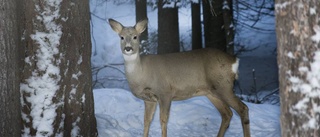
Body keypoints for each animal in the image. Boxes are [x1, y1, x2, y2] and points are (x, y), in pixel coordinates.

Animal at [109, 18, 251, 137]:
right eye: (121, 37)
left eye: (135, 37)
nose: (128, 48)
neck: (141, 75)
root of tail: (234, 60)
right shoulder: (149, 99)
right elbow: (147, 121)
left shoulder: (165, 92)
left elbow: (163, 120)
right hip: (212, 92)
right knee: (227, 114)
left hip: (224, 85)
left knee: (243, 108)